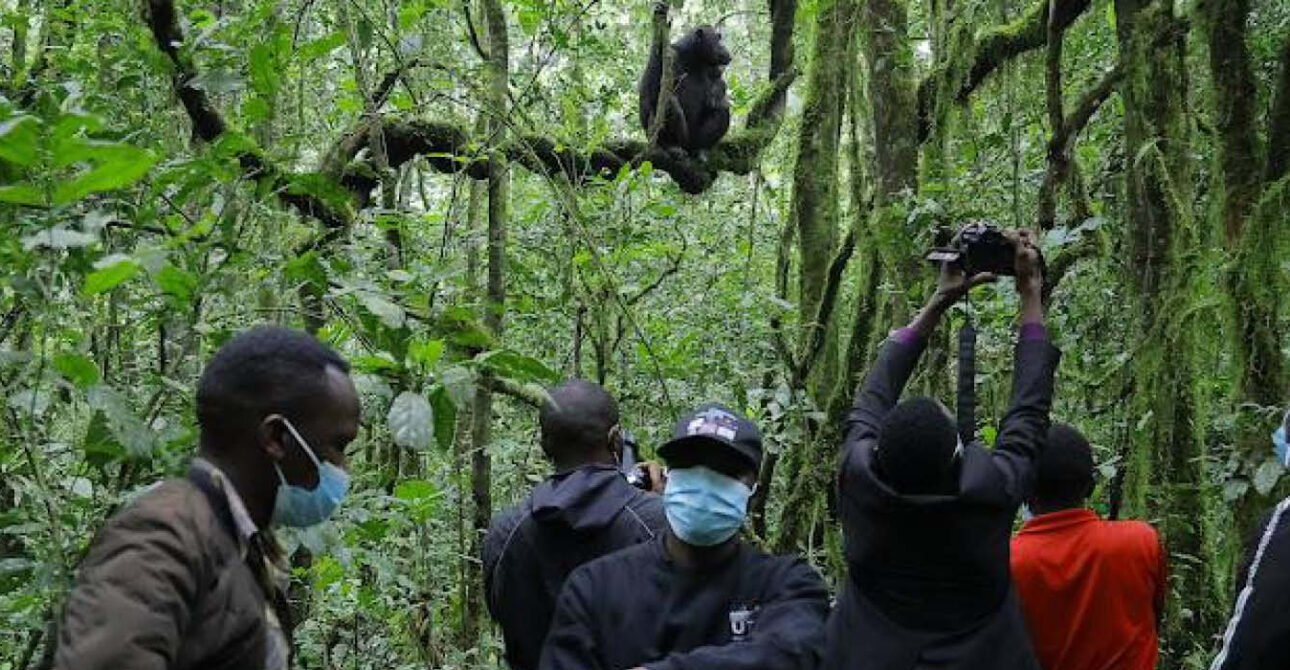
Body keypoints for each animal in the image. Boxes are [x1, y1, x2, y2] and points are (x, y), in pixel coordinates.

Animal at [638, 25, 732, 156]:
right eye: (718, 38)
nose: (723, 45)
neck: (694, 58)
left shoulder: (715, 68)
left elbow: (720, 84)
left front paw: (715, 97)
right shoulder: (667, 56)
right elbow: (650, 93)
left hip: (695, 139)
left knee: (722, 110)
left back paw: (701, 149)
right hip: (682, 138)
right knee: (670, 103)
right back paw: (672, 146)